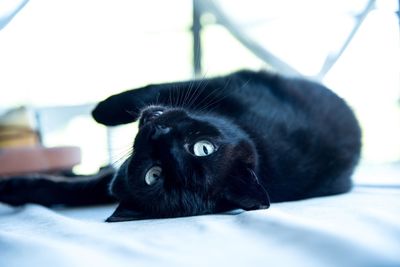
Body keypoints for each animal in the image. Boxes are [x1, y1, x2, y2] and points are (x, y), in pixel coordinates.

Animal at [0, 70, 360, 222]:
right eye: (203, 148)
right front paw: (15, 189)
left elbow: (154, 89)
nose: (160, 132)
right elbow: (72, 189)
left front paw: (100, 110)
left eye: (154, 175)